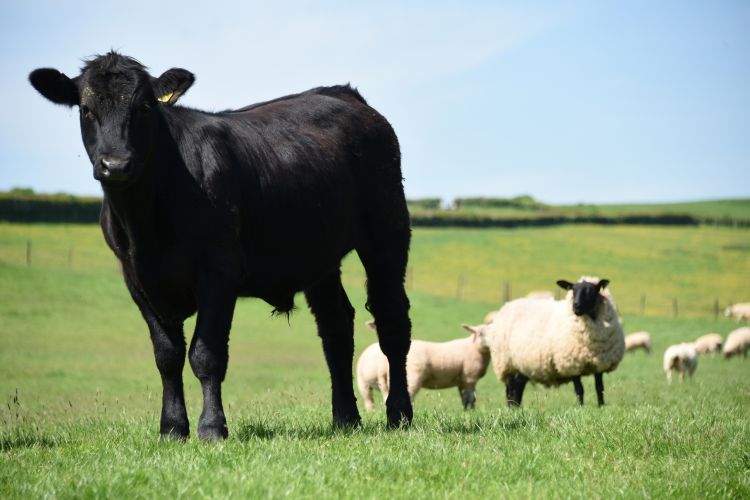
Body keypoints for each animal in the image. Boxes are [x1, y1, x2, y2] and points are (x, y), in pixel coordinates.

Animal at [29, 52, 413, 440]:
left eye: (145, 106)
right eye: (86, 109)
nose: (116, 164)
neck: (147, 219)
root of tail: (345, 94)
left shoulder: (219, 271)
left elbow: (206, 353)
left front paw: (212, 427)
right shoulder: (135, 278)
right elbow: (166, 355)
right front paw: (172, 428)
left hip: (387, 231)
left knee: (391, 318)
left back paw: (399, 413)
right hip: (320, 255)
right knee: (336, 326)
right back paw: (345, 418)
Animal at [356, 320, 491, 411]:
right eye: (480, 333)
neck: (474, 347)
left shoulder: (463, 380)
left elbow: (465, 398)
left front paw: (467, 411)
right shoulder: (470, 377)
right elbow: (471, 398)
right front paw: (471, 411)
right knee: (371, 401)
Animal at [475, 276, 625, 407]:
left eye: (591, 291)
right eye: (572, 290)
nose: (576, 306)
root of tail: (507, 305)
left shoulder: (600, 363)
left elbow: (600, 388)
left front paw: (601, 406)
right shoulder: (571, 363)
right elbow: (579, 389)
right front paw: (581, 407)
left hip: (523, 364)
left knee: (518, 386)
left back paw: (516, 407)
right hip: (508, 363)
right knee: (510, 388)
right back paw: (512, 408)